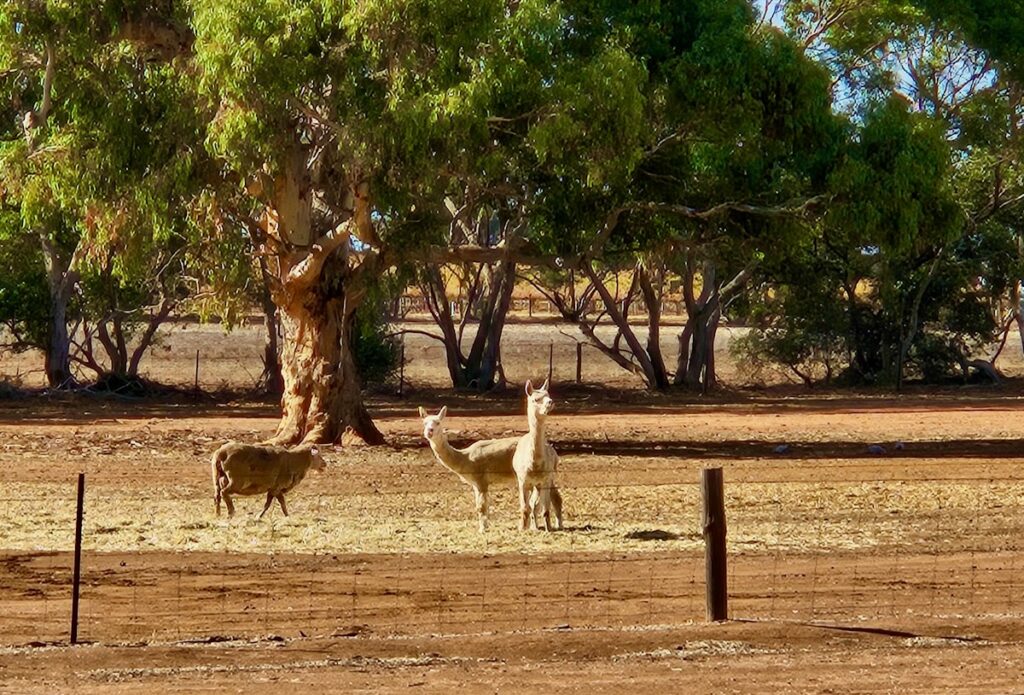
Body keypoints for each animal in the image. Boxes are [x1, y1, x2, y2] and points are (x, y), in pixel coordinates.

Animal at [419, 405, 562, 532]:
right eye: (424, 423)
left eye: (438, 422)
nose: (429, 431)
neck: (465, 458)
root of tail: (552, 449)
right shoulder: (475, 484)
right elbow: (481, 506)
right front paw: (484, 526)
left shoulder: (481, 479)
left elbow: (481, 506)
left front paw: (482, 529)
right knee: (546, 498)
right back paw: (547, 525)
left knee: (554, 497)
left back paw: (556, 525)